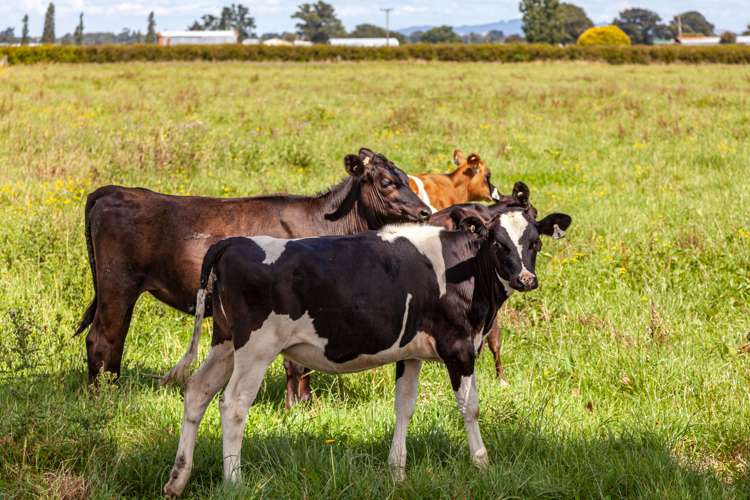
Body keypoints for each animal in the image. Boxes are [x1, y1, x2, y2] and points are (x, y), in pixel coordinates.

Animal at [77, 148, 432, 382]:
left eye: (406, 178)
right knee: (102, 338)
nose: (425, 212)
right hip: (118, 284)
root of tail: (113, 190)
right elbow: (296, 364)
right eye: (387, 182)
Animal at [162, 189, 572, 494]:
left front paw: (397, 472)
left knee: (197, 391)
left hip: (225, 342)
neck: (466, 269)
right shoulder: (459, 347)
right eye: (498, 242)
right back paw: (234, 481)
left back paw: (178, 479)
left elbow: (404, 406)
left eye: (534, 242)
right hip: (255, 349)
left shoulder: (411, 352)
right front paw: (482, 464)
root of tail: (232, 243)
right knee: (233, 404)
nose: (525, 279)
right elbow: (470, 407)